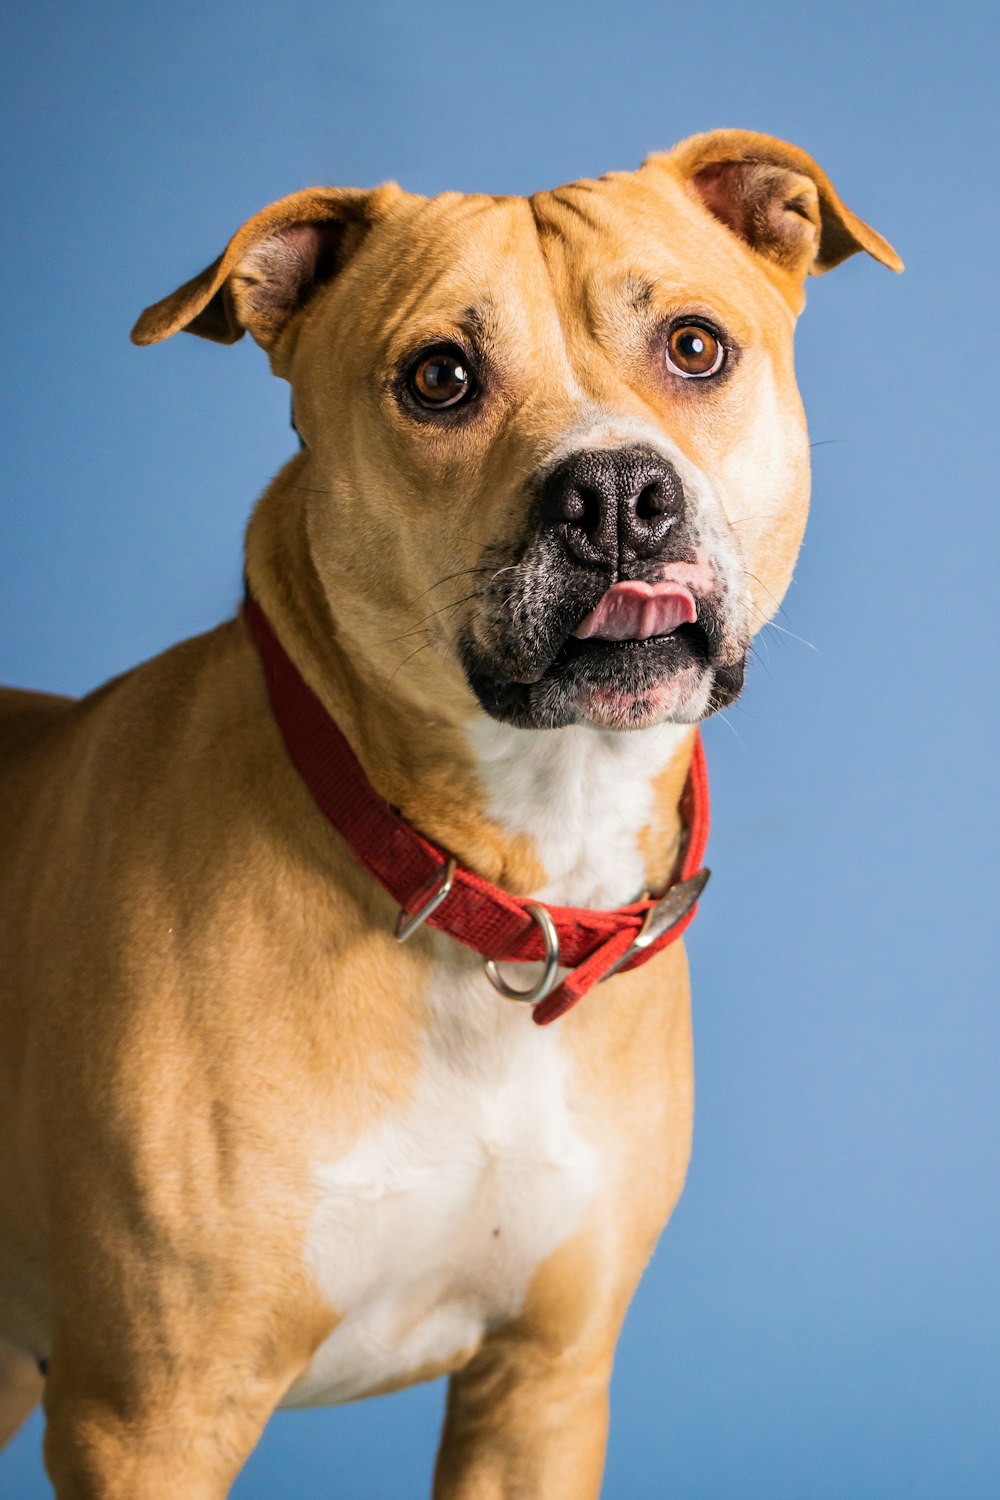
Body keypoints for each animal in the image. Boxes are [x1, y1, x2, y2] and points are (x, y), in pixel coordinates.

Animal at [0, 135, 905, 1494]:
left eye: (695, 347)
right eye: (438, 378)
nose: (617, 492)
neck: (502, 876)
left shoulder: (543, 1382)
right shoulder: (148, 1419)